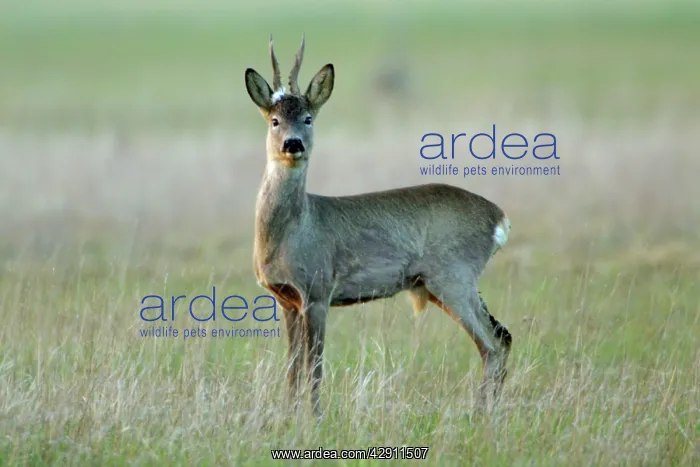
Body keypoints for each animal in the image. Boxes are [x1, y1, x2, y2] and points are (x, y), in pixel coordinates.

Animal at [245, 34, 513, 418]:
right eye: (275, 120)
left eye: (309, 118)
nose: (292, 145)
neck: (289, 234)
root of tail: (498, 217)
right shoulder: (286, 299)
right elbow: (293, 367)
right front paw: (287, 416)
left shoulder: (318, 291)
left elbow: (315, 366)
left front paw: (314, 418)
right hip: (447, 283)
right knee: (503, 336)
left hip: (453, 276)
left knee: (490, 344)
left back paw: (480, 415)